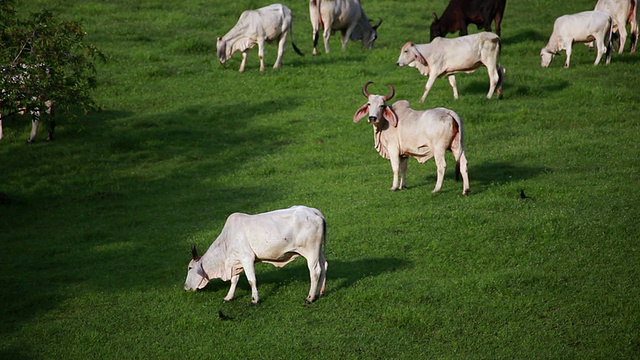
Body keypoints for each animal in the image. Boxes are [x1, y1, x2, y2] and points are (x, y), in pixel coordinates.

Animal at [182, 205, 328, 304]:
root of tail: (314, 211)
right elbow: (234, 280)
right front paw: (228, 297)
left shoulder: (247, 259)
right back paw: (320, 292)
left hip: (311, 252)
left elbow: (251, 280)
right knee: (324, 265)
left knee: (315, 271)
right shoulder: (237, 262)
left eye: (190, 268)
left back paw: (310, 297)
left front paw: (254, 300)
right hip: (318, 251)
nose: (185, 287)